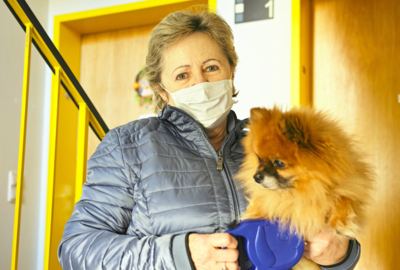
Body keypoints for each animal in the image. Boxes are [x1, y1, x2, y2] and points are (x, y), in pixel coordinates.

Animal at [236, 107, 374, 270]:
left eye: (279, 163)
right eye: (259, 159)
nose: (256, 177)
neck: (303, 190)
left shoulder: (348, 188)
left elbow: (344, 198)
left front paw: (343, 223)